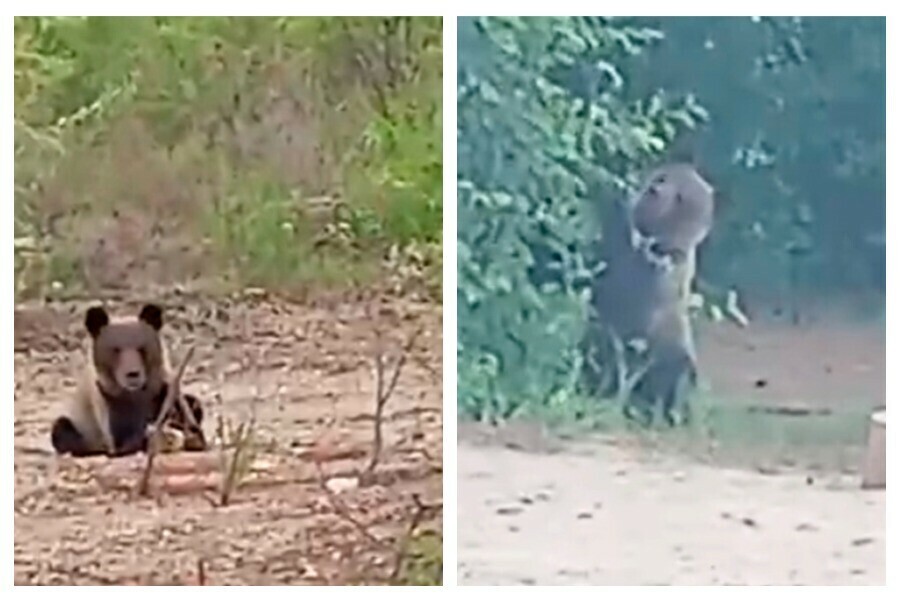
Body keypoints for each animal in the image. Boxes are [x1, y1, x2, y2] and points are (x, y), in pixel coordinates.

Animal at [52, 302, 207, 458]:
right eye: (116, 349)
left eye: (141, 348)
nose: (132, 374)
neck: (135, 392)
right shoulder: (107, 401)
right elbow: (123, 439)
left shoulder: (162, 389)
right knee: (62, 430)